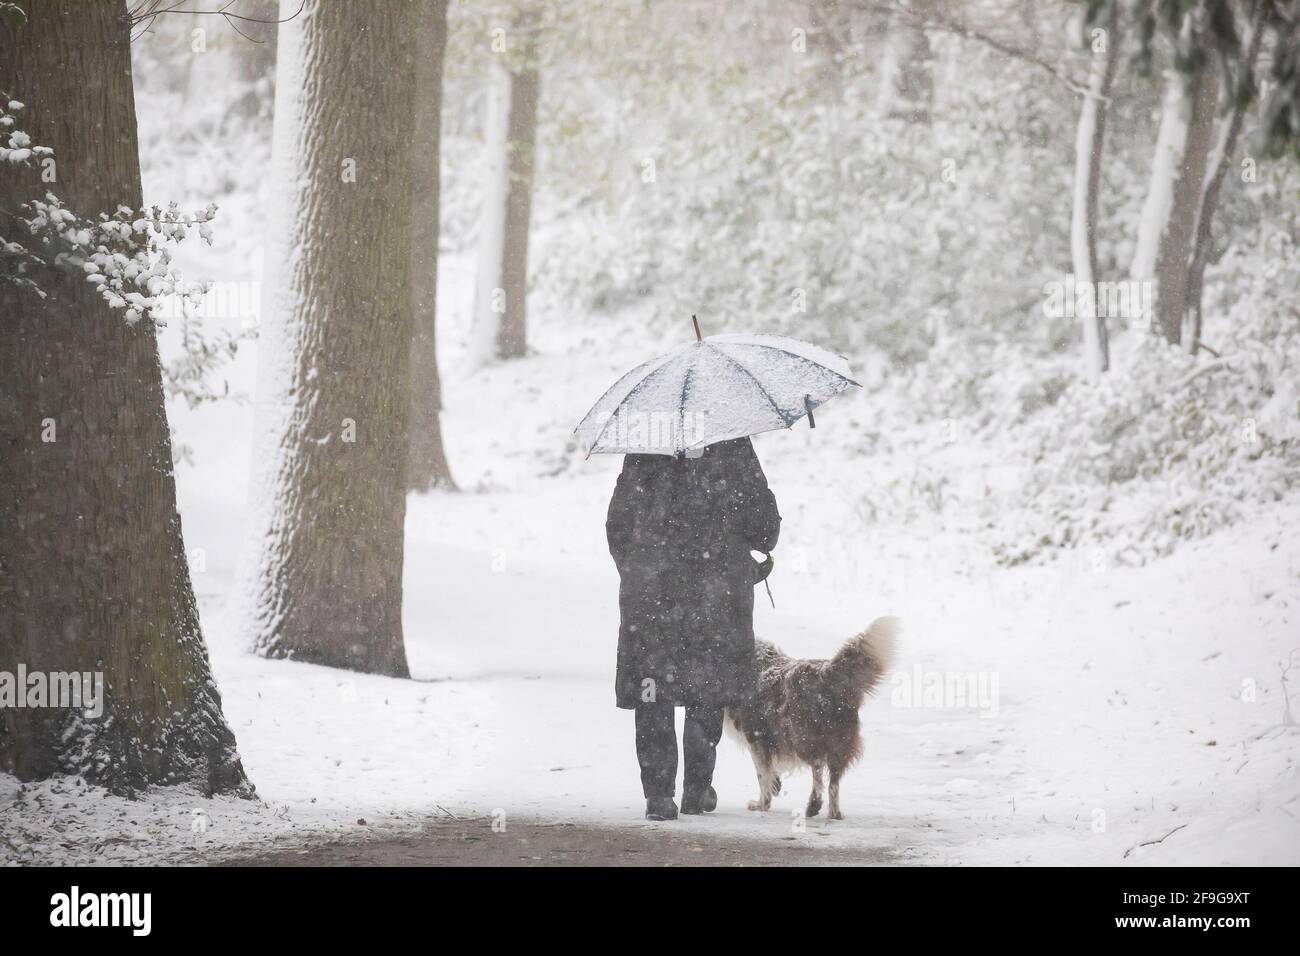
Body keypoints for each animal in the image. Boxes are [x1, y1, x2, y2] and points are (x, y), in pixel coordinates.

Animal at [728, 621, 899, 822]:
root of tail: (828, 673)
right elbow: (770, 773)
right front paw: (775, 786)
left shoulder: (756, 736)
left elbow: (762, 774)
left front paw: (762, 804)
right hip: (840, 741)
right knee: (834, 780)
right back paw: (834, 813)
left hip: (801, 736)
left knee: (817, 767)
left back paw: (813, 805)